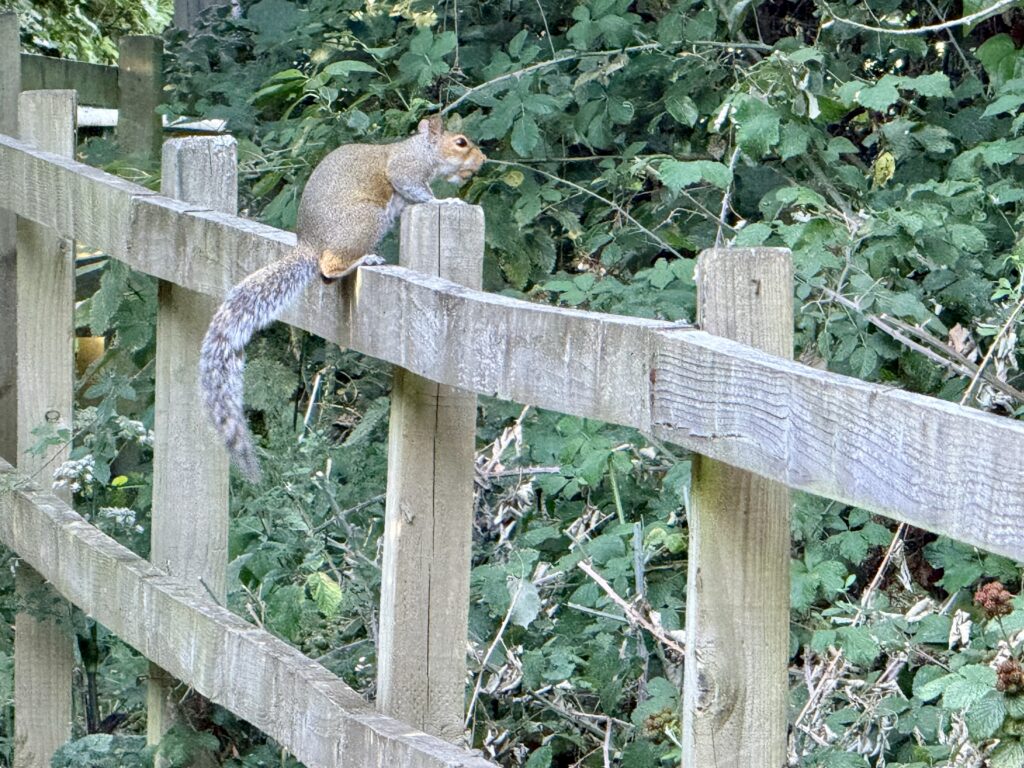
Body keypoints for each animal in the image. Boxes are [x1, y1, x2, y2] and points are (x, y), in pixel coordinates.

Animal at [199, 115, 486, 481]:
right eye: (460, 142)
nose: (483, 160)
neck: (421, 148)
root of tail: (311, 243)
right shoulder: (406, 169)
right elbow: (419, 191)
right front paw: (445, 202)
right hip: (365, 221)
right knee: (329, 266)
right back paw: (364, 259)